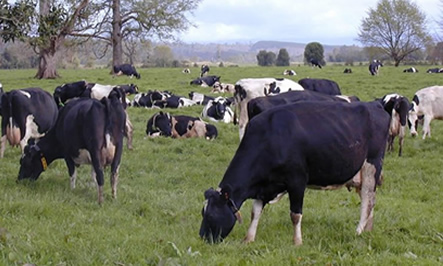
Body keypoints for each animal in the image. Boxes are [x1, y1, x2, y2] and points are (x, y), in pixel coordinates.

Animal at [199, 100, 390, 245]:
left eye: (211, 214)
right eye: (202, 212)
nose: (202, 238)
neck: (269, 137)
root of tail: (374, 105)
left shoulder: (297, 181)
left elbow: (295, 215)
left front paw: (297, 242)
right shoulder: (264, 185)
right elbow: (255, 212)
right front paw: (248, 239)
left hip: (371, 165)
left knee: (367, 199)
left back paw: (359, 231)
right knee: (371, 199)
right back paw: (368, 230)